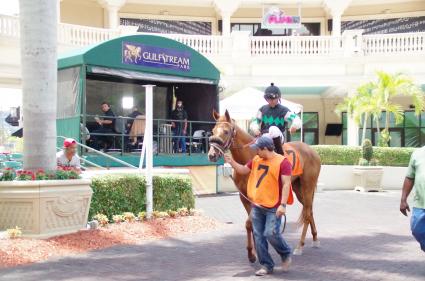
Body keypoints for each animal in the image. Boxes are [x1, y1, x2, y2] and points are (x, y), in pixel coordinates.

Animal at [207, 110, 320, 260]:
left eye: (226, 131)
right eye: (213, 131)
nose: (212, 155)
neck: (249, 156)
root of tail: (312, 150)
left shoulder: (256, 197)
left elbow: (249, 223)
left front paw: (251, 253)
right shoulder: (244, 197)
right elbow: (253, 224)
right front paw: (256, 252)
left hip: (308, 185)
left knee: (307, 213)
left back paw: (299, 246)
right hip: (298, 188)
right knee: (310, 210)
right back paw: (315, 239)